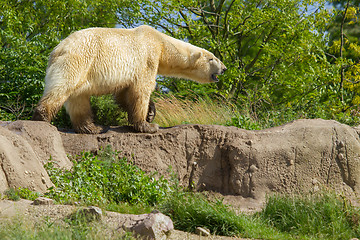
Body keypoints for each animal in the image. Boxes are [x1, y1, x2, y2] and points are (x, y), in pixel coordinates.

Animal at [32, 25, 226, 134]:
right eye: (213, 58)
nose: (224, 68)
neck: (161, 43)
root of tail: (57, 49)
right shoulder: (148, 57)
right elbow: (141, 89)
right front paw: (148, 126)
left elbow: (124, 93)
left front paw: (151, 113)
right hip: (80, 59)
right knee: (63, 87)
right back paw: (42, 117)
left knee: (78, 98)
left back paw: (92, 128)